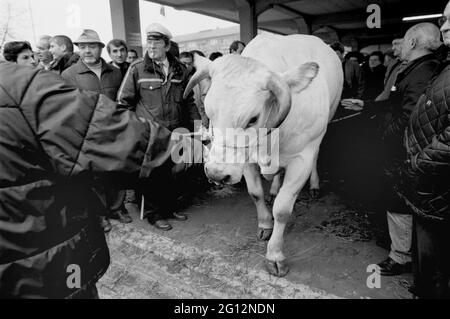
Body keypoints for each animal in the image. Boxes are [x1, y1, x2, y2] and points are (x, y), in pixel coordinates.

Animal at [185, 33, 342, 276]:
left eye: (252, 118)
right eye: (209, 112)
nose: (216, 174)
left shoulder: (301, 159)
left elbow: (283, 210)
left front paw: (275, 255)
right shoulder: (246, 160)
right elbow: (256, 193)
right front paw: (265, 224)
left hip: (323, 128)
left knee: (316, 156)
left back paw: (314, 184)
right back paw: (275, 188)